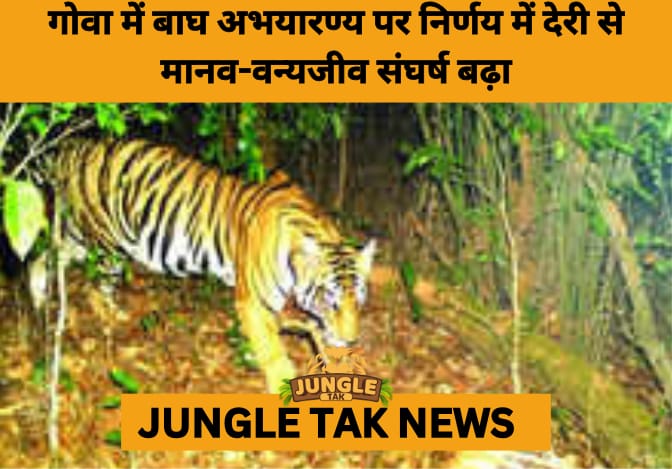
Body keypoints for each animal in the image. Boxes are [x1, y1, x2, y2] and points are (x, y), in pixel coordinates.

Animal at [29, 138, 376, 392]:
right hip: (105, 243)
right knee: (95, 286)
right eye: (331, 302)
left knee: (43, 255)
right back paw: (110, 319)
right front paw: (282, 385)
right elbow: (272, 348)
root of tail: (74, 147)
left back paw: (39, 300)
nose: (350, 341)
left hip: (81, 234)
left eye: (357, 301)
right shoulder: (253, 300)